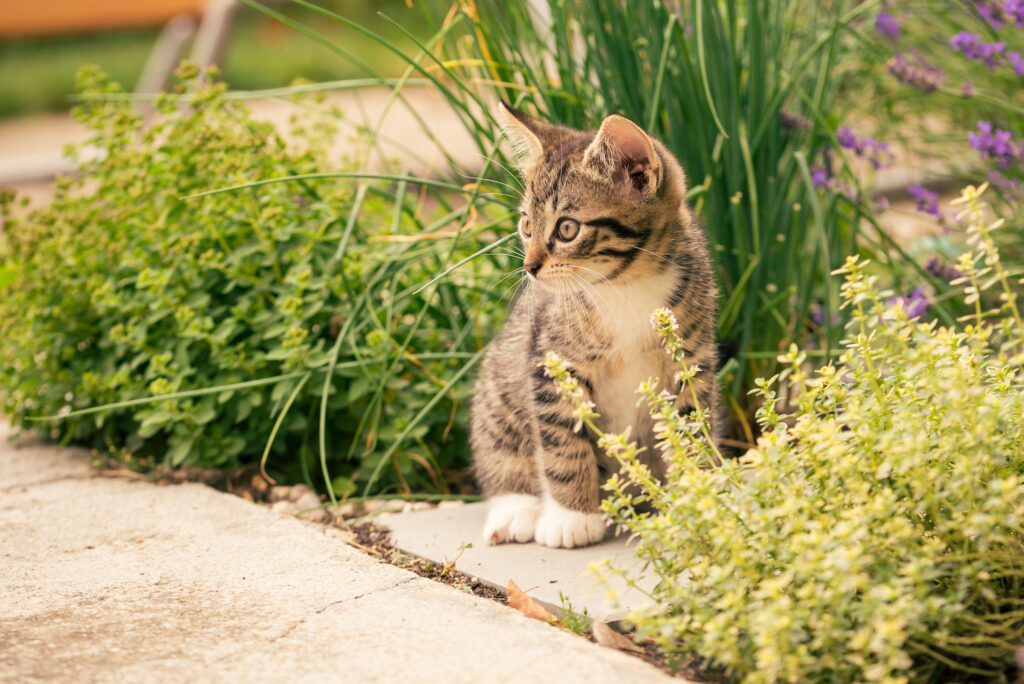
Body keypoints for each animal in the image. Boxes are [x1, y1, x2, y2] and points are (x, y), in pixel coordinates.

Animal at [471, 102, 720, 548]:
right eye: (526, 225)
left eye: (567, 228)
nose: (529, 267)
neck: (626, 285)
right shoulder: (549, 359)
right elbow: (562, 437)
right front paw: (571, 516)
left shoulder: (691, 358)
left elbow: (691, 425)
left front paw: (696, 494)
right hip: (499, 386)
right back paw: (517, 509)